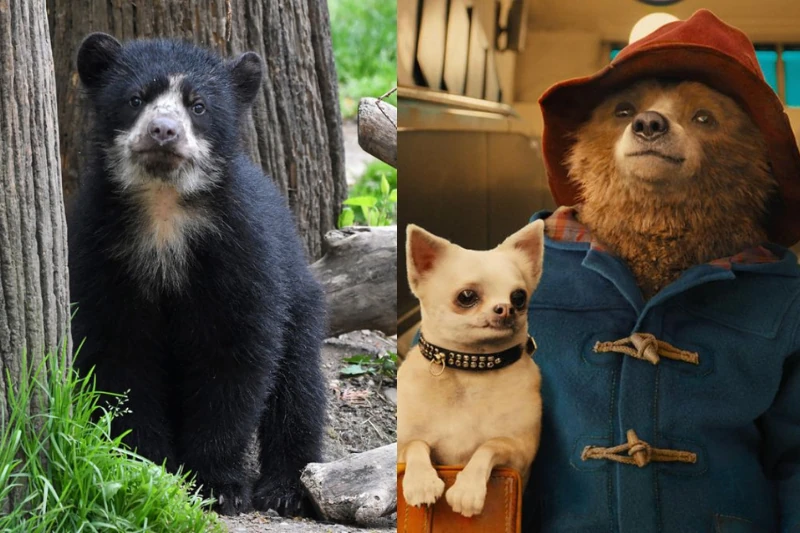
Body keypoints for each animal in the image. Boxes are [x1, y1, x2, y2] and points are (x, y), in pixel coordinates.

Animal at [67, 33, 327, 517]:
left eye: (199, 106)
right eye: (135, 99)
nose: (163, 131)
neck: (164, 211)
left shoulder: (242, 252)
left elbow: (233, 358)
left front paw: (218, 486)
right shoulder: (101, 253)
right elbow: (120, 358)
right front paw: (149, 468)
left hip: (302, 304)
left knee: (298, 389)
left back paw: (285, 490)